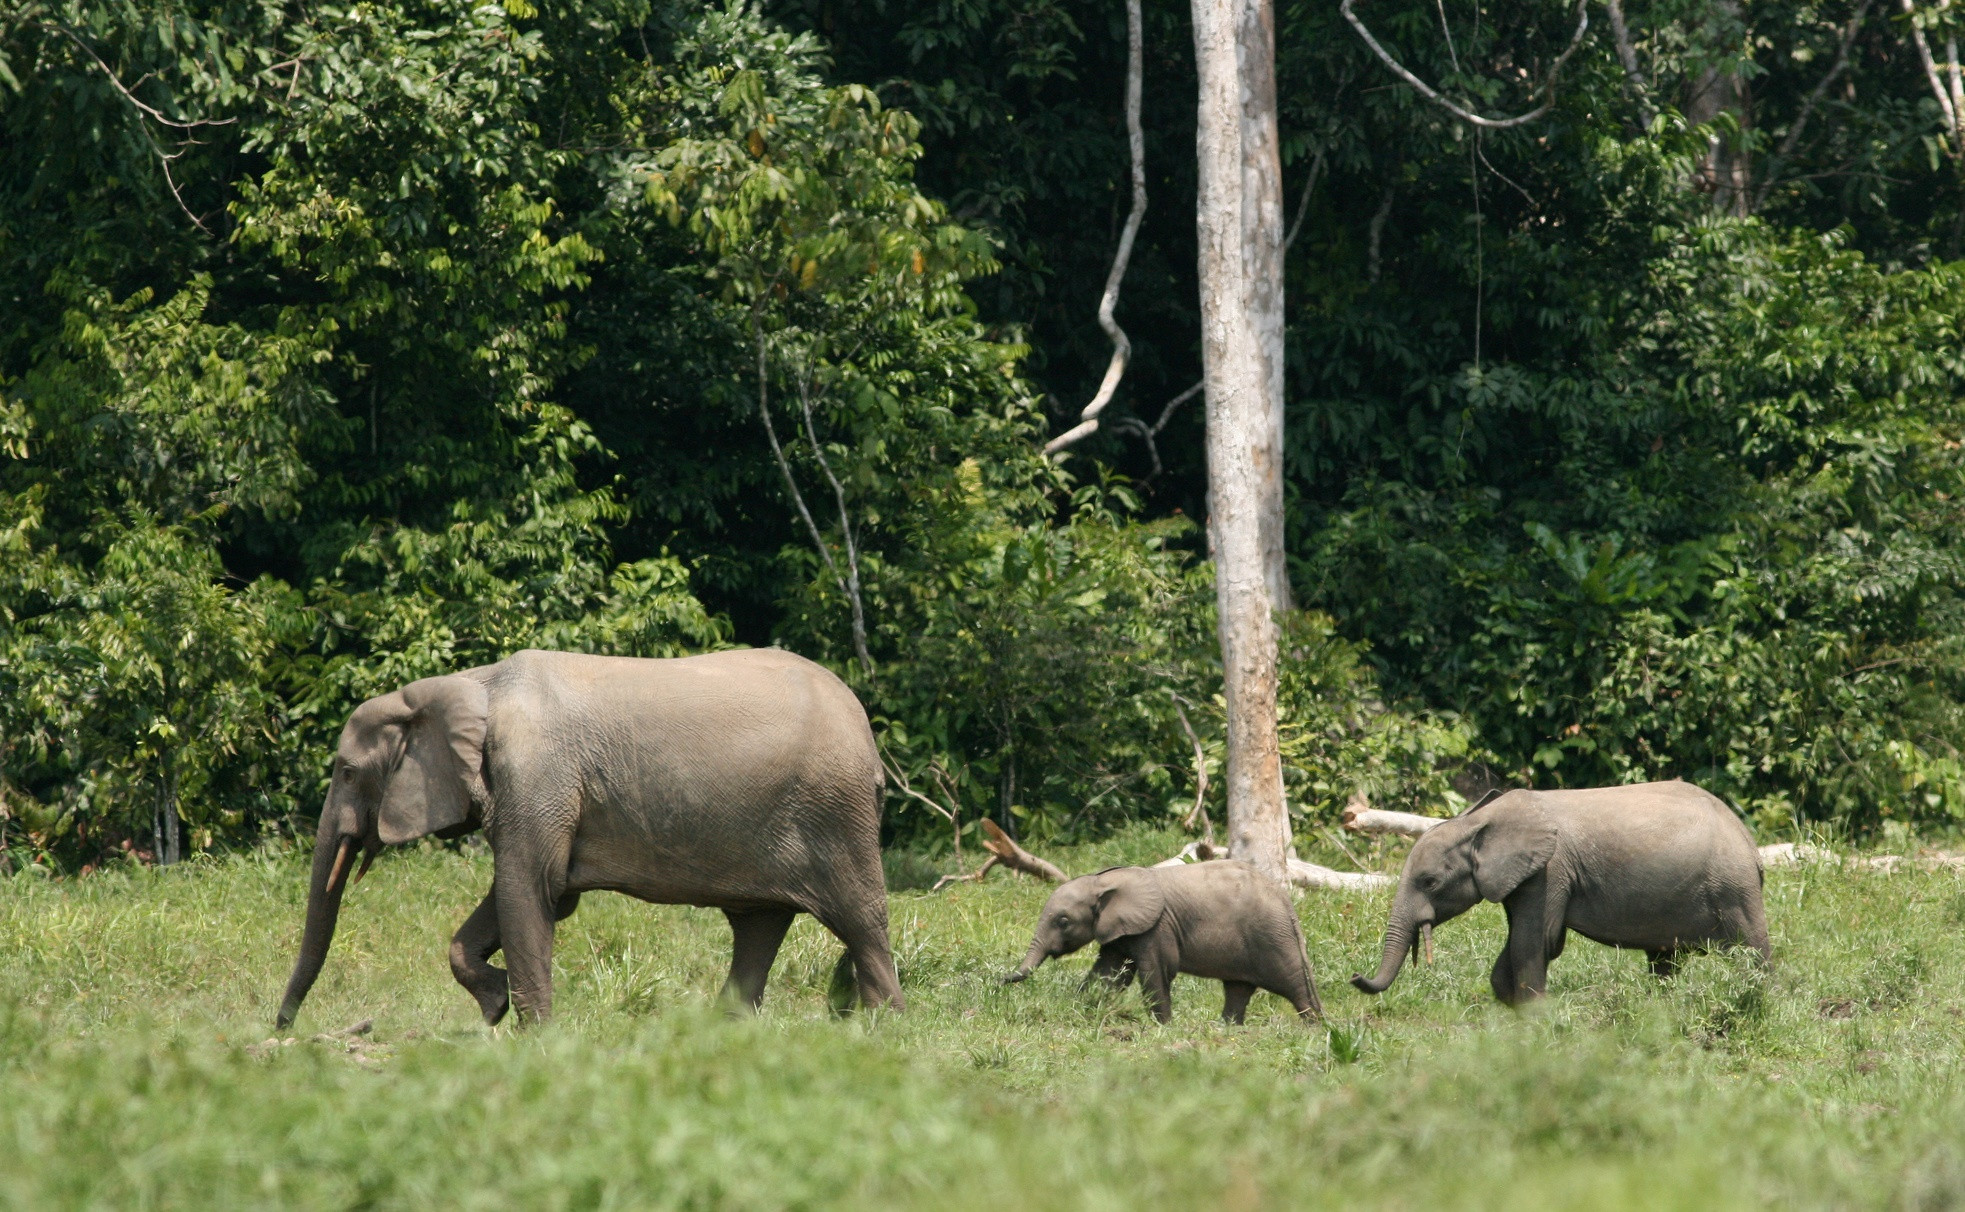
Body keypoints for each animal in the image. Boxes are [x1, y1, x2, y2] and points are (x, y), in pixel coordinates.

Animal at [273, 648, 899, 1029]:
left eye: (346, 771)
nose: (282, 1029)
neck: (467, 685)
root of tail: (865, 730)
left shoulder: (537, 775)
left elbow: (530, 890)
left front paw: (533, 1038)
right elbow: (534, 895)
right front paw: (496, 1005)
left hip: (835, 813)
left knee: (861, 921)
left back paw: (881, 1033)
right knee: (758, 926)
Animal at [1006, 860, 1328, 1021]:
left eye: (1063, 922)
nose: (1001, 979)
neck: (1102, 881)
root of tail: (1286, 901)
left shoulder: (1156, 927)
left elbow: (1156, 972)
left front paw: (1161, 1028)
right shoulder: (1121, 929)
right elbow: (1109, 973)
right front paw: (1083, 1011)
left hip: (1273, 936)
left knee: (1294, 987)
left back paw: (1317, 1030)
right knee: (1238, 990)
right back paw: (1226, 1030)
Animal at [1351, 773, 1768, 1001]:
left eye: (1430, 881)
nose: (1355, 977)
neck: (1478, 821)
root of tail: (1749, 842)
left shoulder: (1550, 872)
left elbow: (1537, 941)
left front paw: (1533, 1020)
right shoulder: (1523, 877)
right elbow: (1521, 945)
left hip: (1733, 886)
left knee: (1753, 949)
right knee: (1664, 960)